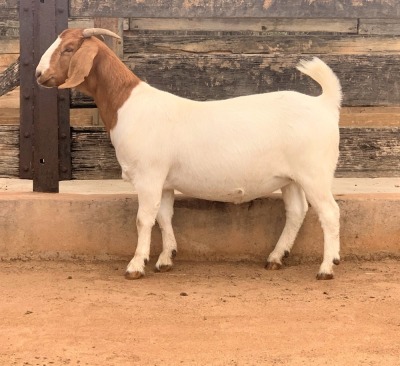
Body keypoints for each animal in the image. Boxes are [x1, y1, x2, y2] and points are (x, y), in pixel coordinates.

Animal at [36, 27, 342, 280]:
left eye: (69, 48)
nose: (39, 74)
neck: (128, 105)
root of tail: (325, 104)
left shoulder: (149, 176)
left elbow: (144, 219)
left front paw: (136, 266)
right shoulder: (164, 182)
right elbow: (164, 216)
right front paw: (165, 259)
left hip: (314, 173)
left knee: (329, 212)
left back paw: (326, 267)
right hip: (291, 178)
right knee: (297, 211)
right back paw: (277, 258)